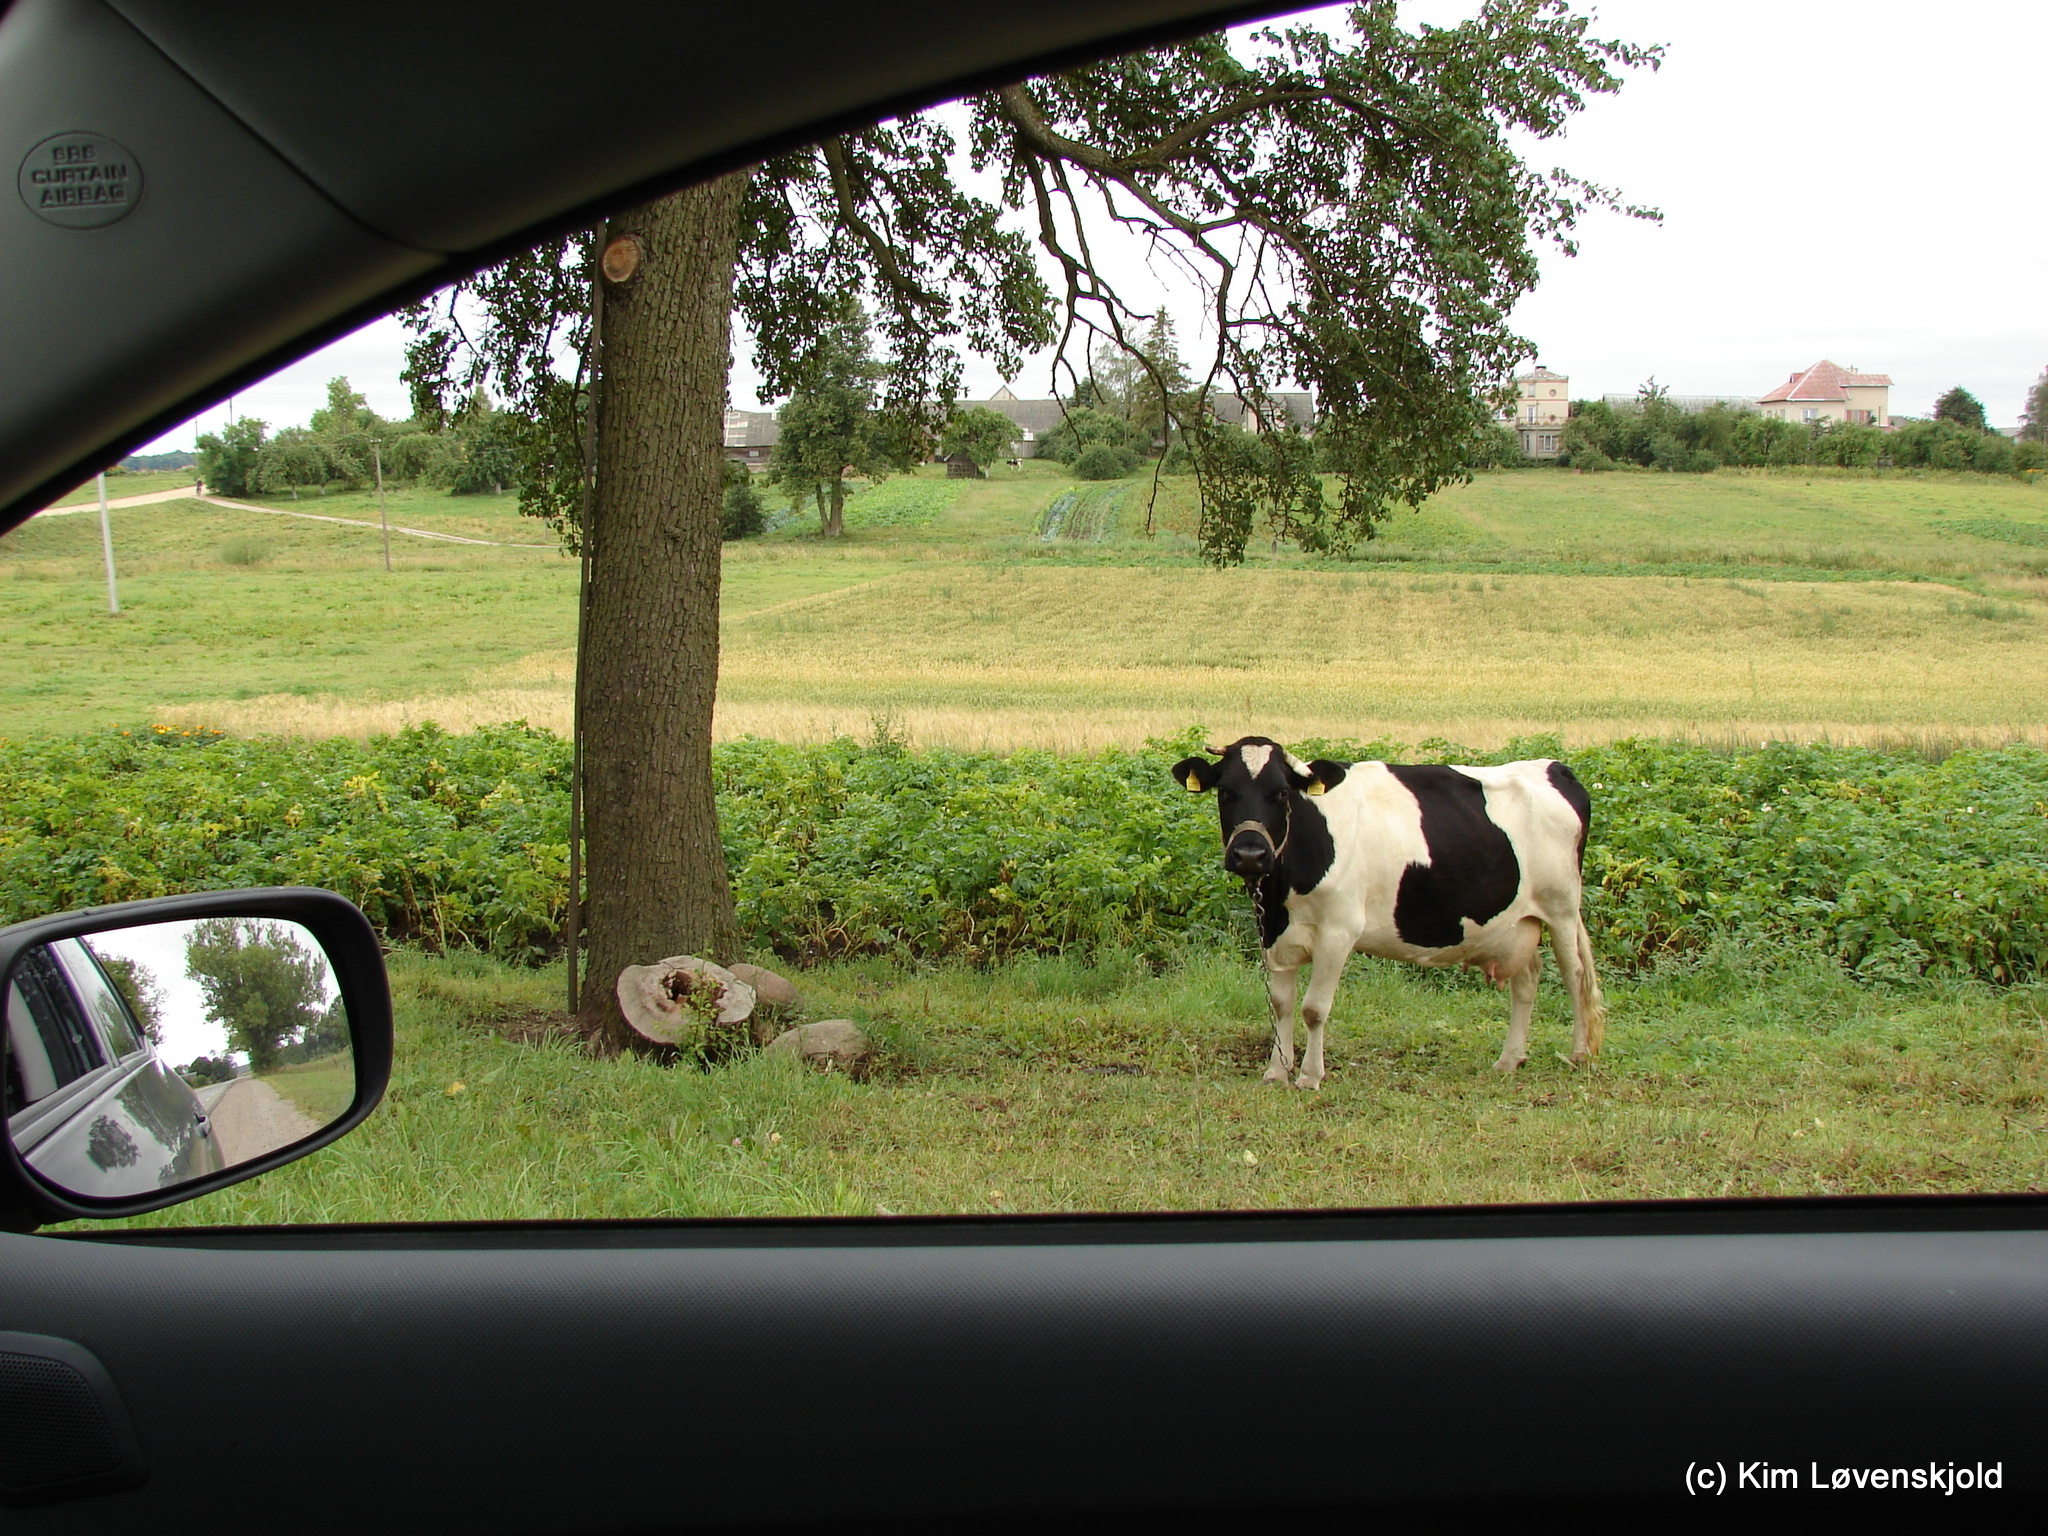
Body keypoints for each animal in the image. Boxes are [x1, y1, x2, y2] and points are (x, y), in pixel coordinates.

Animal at [1172, 737, 1605, 1087]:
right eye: (1225, 792)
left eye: (1280, 793)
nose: (1250, 854)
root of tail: (1554, 766)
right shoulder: (1274, 930)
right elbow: (1281, 1004)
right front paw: (1278, 1070)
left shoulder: (1338, 931)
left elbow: (1314, 1008)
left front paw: (1310, 1076)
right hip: (1516, 921)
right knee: (1527, 980)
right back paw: (1509, 1059)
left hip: (1562, 908)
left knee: (1575, 976)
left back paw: (1579, 1054)